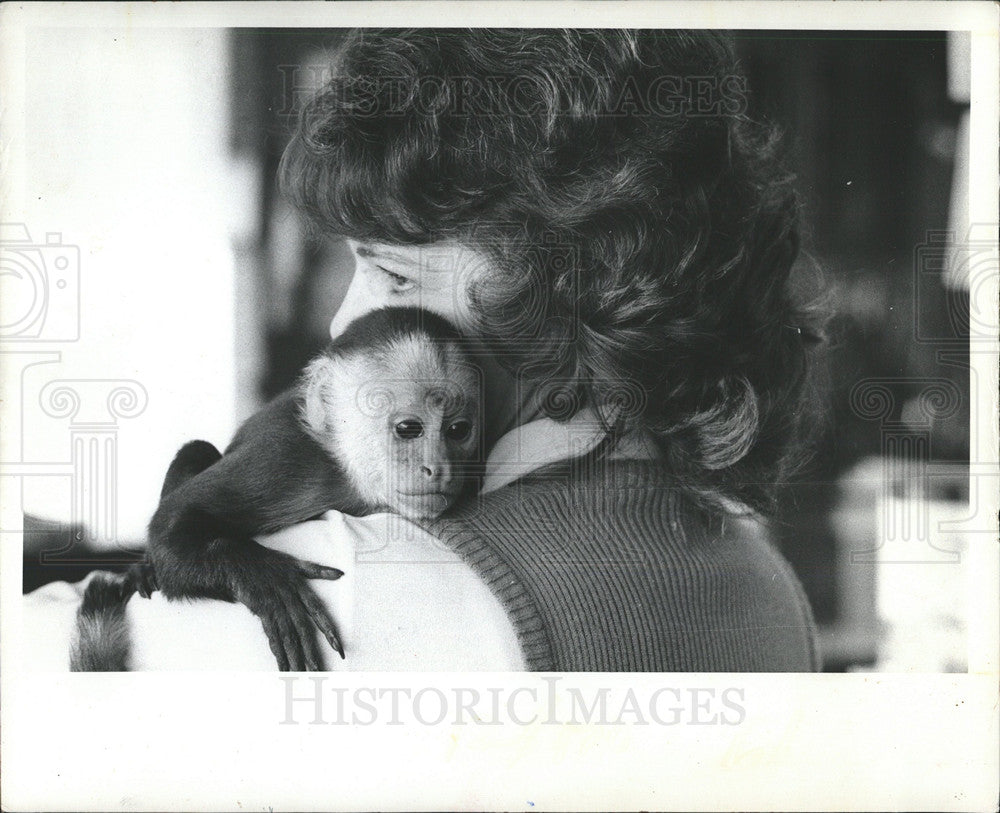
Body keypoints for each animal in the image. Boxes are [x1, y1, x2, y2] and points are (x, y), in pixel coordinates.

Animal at [69, 308, 480, 668]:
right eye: (408, 429)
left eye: (458, 430)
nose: (439, 468)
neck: (347, 474)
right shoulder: (286, 459)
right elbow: (171, 528)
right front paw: (262, 577)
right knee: (197, 450)